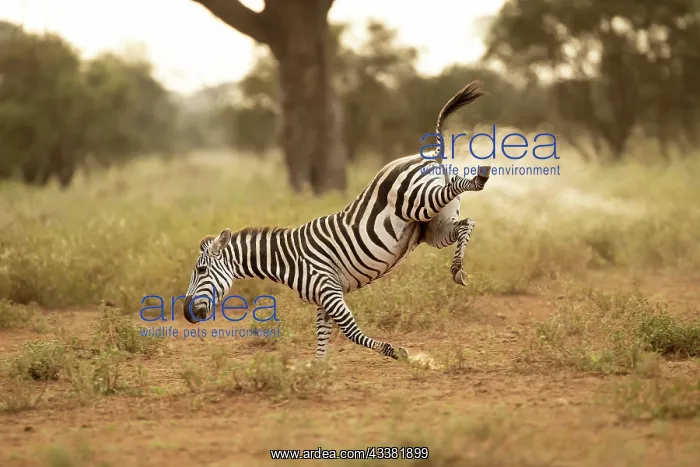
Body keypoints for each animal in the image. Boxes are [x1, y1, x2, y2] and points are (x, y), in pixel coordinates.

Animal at [183, 81, 491, 362]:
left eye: (200, 270)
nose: (187, 314)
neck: (286, 260)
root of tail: (425, 156)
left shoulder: (328, 289)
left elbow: (351, 332)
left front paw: (397, 352)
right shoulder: (324, 298)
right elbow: (322, 337)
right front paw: (317, 371)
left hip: (417, 201)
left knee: (460, 190)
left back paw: (481, 176)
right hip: (432, 227)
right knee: (466, 223)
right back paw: (458, 270)